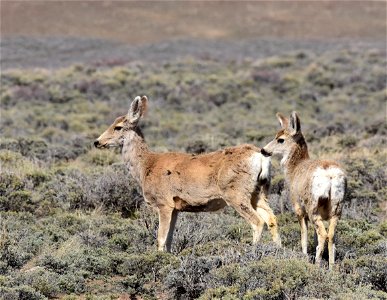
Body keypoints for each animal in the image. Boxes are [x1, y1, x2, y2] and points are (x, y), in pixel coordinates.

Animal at [94, 95, 282, 251]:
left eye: (118, 127)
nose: (97, 142)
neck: (146, 167)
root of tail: (260, 155)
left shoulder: (164, 203)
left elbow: (160, 239)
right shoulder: (176, 208)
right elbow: (169, 240)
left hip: (236, 192)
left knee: (257, 221)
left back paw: (252, 252)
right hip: (259, 191)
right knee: (271, 218)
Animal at [262, 112, 348, 270]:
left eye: (280, 139)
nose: (264, 150)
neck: (295, 168)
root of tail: (330, 174)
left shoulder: (299, 210)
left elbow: (304, 236)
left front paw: (304, 257)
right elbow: (313, 237)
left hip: (312, 208)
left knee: (323, 234)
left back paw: (317, 265)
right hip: (337, 210)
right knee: (331, 235)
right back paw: (331, 268)